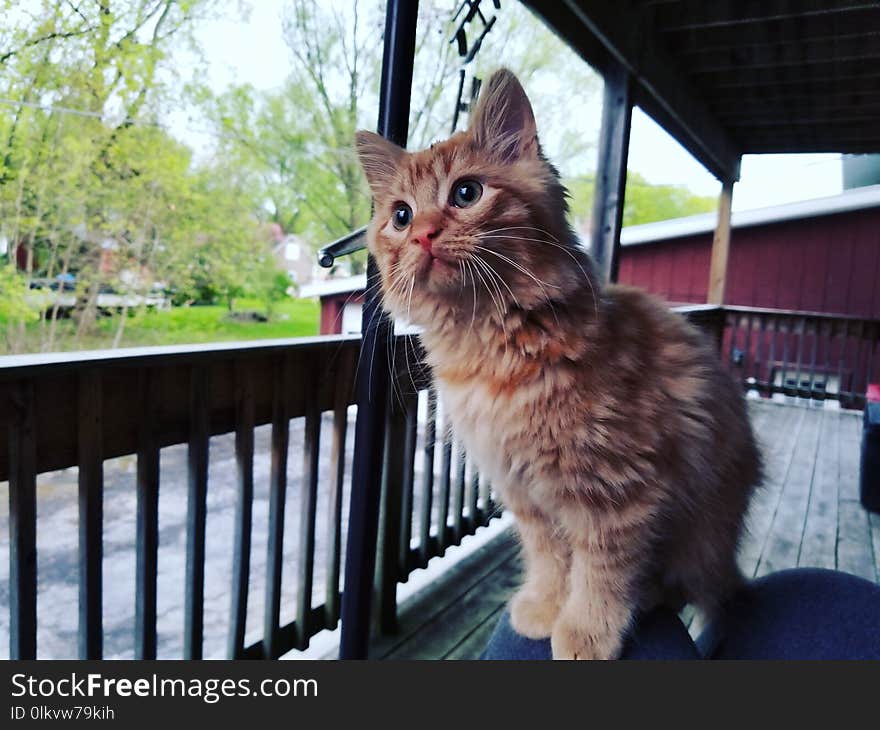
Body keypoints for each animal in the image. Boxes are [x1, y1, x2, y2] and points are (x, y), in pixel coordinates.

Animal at [354, 69, 760, 660]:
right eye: (401, 216)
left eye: (466, 193)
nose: (424, 233)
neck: (490, 347)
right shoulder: (526, 495)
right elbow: (549, 559)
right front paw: (545, 609)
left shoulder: (618, 490)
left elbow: (600, 572)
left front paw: (587, 632)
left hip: (701, 537)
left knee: (702, 591)